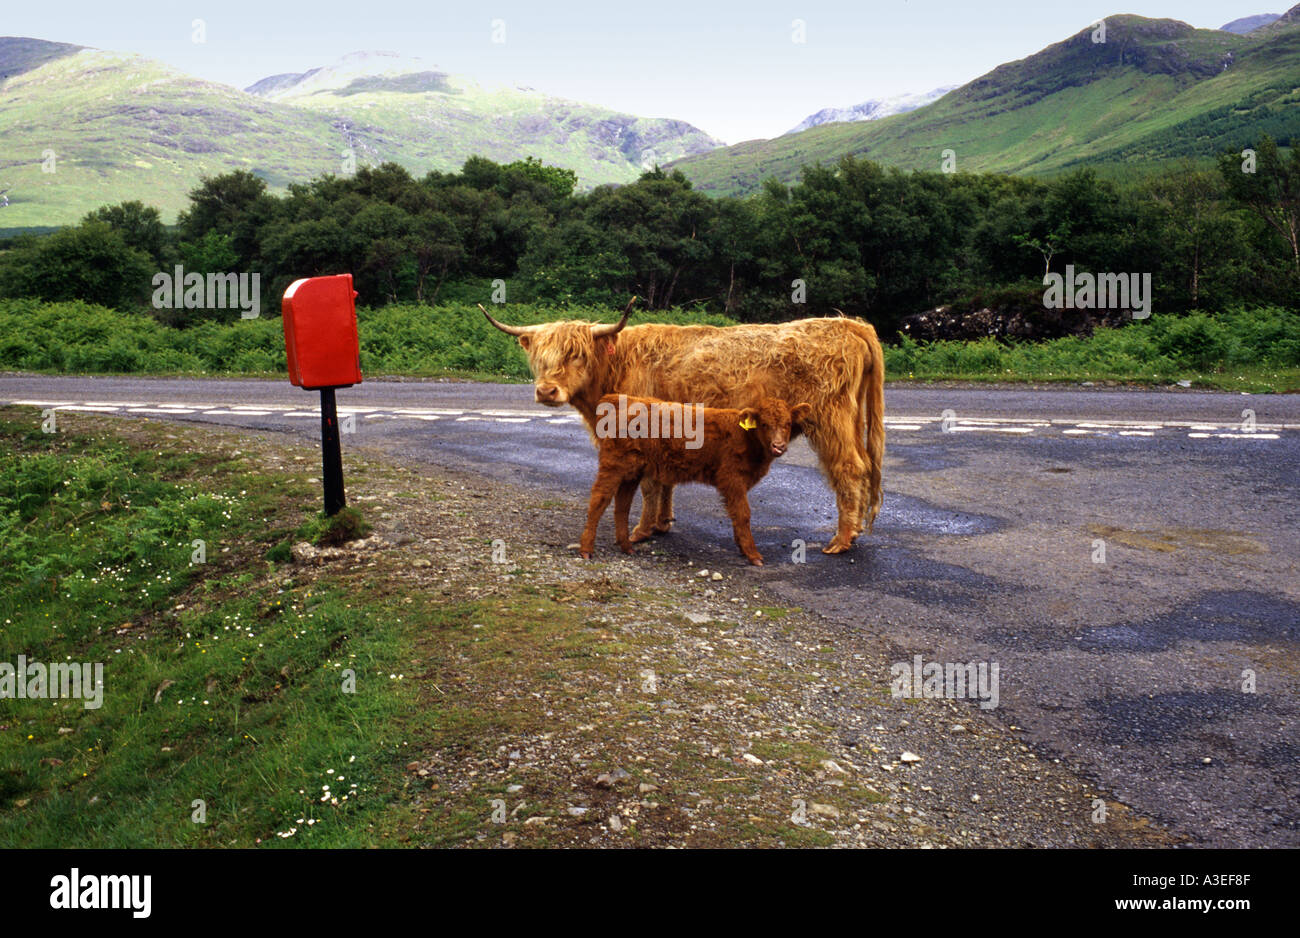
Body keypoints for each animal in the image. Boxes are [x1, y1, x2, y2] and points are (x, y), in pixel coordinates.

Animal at [579, 394, 812, 565]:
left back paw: (626, 546)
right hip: (613, 465)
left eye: (788, 423)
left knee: (622, 504)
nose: (778, 446)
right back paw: (586, 549)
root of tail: (624, 399)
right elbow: (743, 514)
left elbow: (736, 515)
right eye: (764, 424)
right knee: (599, 500)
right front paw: (753, 554)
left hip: (633, 472)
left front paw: (741, 547)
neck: (747, 439)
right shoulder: (732, 479)